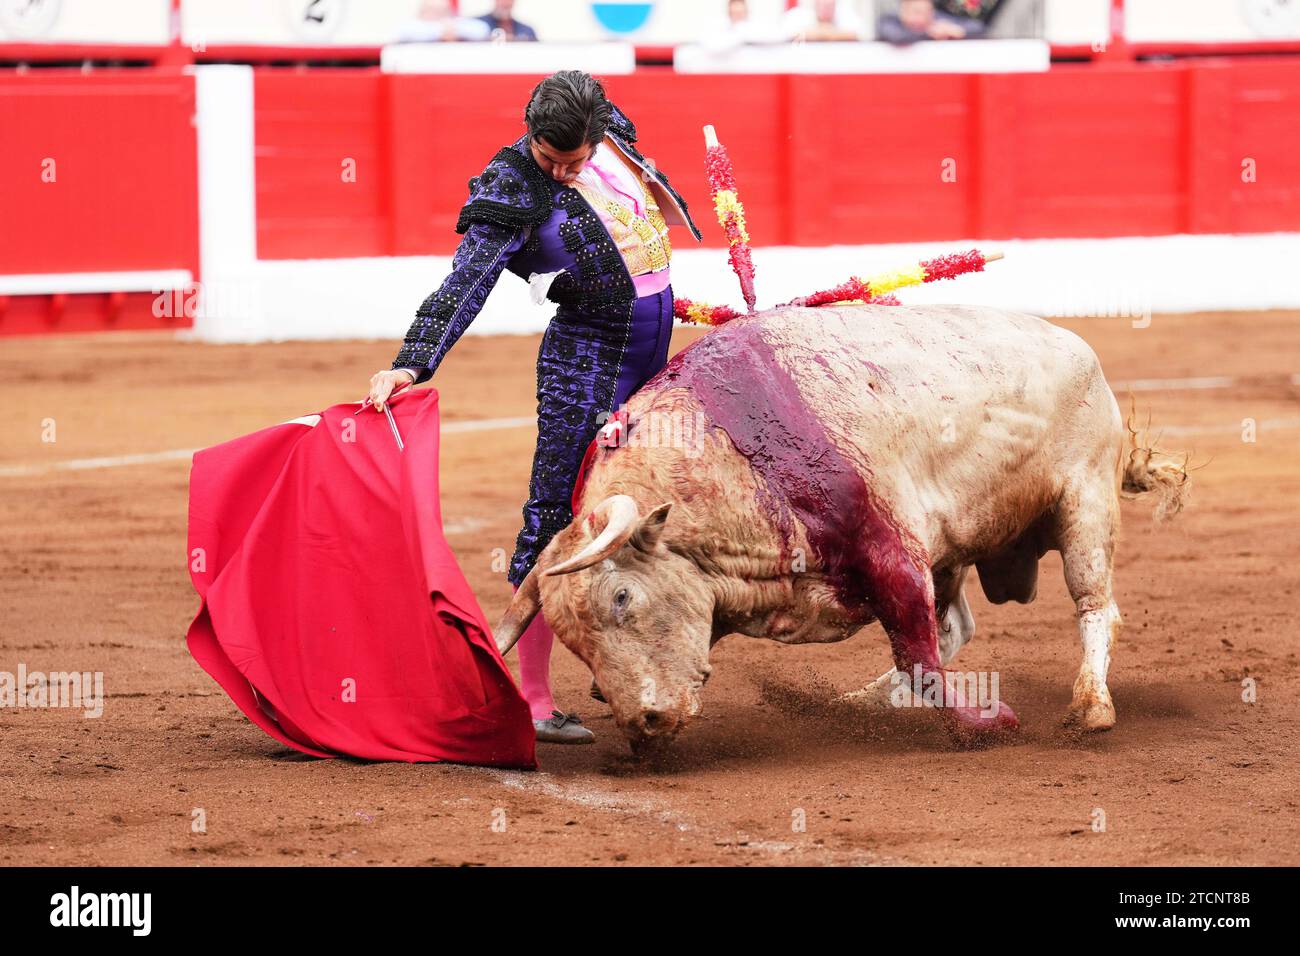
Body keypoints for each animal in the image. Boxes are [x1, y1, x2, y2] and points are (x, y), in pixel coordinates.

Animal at [488, 306, 1190, 754]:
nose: (645, 724)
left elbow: (919, 651)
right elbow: (924, 646)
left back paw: (1091, 709)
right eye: (574, 642)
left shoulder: (891, 547)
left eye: (622, 597)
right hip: (959, 547)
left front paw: (985, 723)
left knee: (1094, 604)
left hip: (1084, 500)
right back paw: (864, 701)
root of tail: (1080, 349)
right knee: (957, 624)